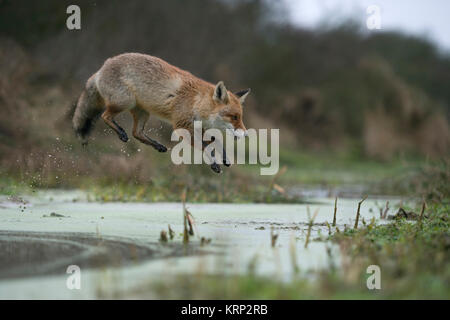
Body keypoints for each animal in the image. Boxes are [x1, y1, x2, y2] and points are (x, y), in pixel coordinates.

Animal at [72, 52, 251, 172]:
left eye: (240, 117)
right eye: (234, 117)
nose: (246, 134)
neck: (196, 103)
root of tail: (102, 68)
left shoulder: (200, 127)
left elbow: (216, 142)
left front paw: (225, 158)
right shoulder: (182, 127)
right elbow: (206, 146)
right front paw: (214, 163)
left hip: (143, 112)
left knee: (137, 133)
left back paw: (158, 146)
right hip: (125, 101)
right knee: (105, 116)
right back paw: (121, 133)